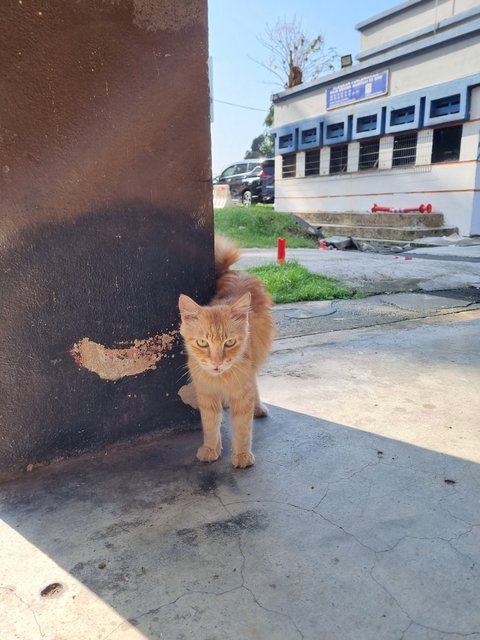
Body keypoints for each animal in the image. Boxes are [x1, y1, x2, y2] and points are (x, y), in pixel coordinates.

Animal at [178, 238, 274, 468]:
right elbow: (210, 426)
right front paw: (211, 449)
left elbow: (242, 428)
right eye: (202, 343)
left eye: (229, 342)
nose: (217, 363)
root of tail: (234, 271)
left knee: (255, 383)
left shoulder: (242, 393)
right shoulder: (206, 394)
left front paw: (241, 455)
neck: (221, 379)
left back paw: (258, 407)